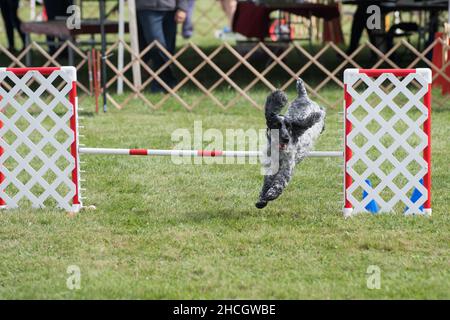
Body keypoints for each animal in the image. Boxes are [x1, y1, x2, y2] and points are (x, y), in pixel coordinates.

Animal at [256, 79, 326, 209]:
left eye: (289, 127)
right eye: (276, 125)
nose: (286, 138)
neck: (278, 150)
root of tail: (303, 96)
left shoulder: (287, 167)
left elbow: (280, 181)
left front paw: (271, 194)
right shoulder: (272, 166)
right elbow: (266, 182)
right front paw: (261, 200)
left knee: (322, 112)